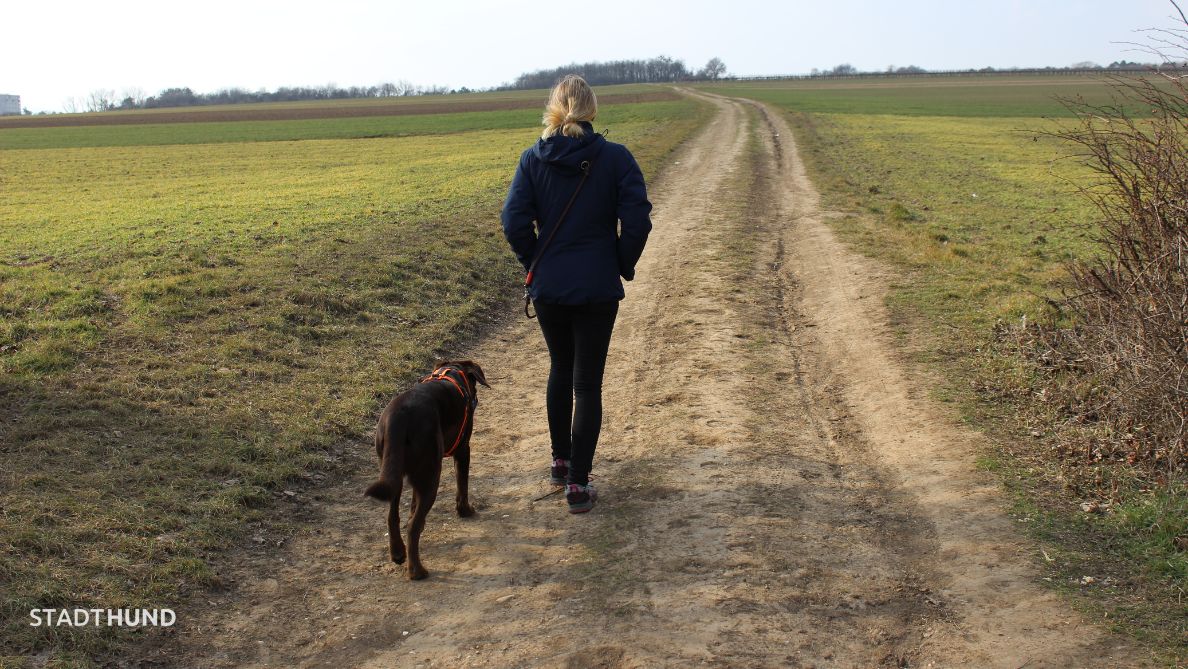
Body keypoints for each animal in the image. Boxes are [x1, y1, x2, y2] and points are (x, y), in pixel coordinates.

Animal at [363, 361, 489, 582]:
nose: (475, 399)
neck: (453, 375)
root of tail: (400, 416)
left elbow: (412, 506)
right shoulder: (463, 450)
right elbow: (462, 486)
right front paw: (465, 511)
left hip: (394, 473)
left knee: (393, 517)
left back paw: (398, 553)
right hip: (431, 476)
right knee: (412, 527)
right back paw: (417, 571)